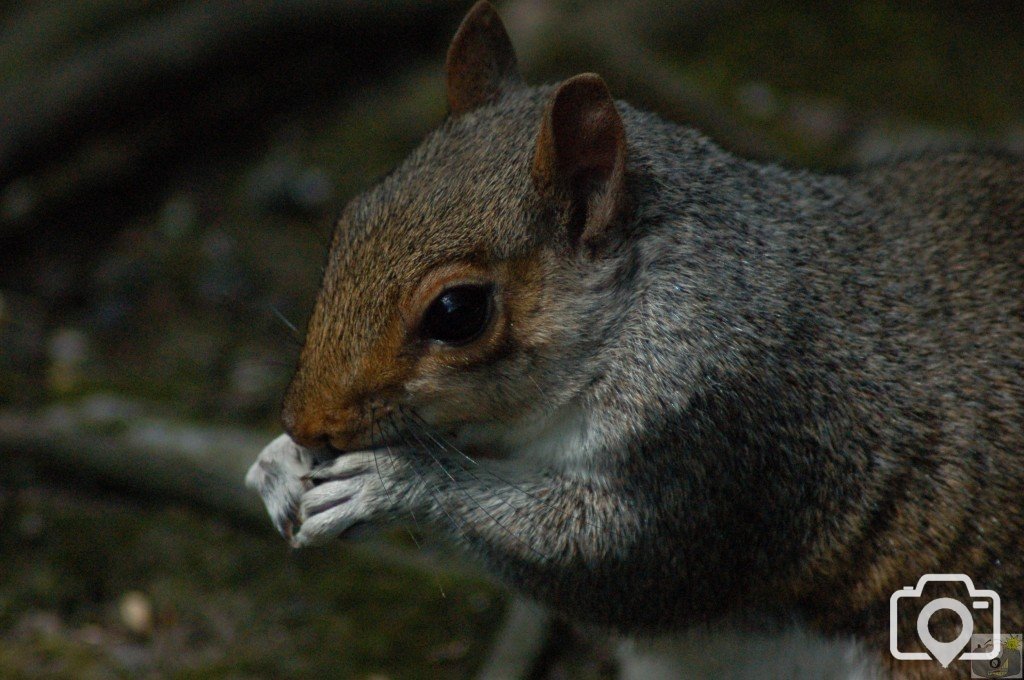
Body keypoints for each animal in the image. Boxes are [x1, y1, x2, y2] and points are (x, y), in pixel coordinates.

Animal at [247, 2, 1024, 675]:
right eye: (351, 219)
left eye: (457, 311)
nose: (307, 421)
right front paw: (277, 463)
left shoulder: (727, 432)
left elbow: (618, 563)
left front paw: (395, 481)